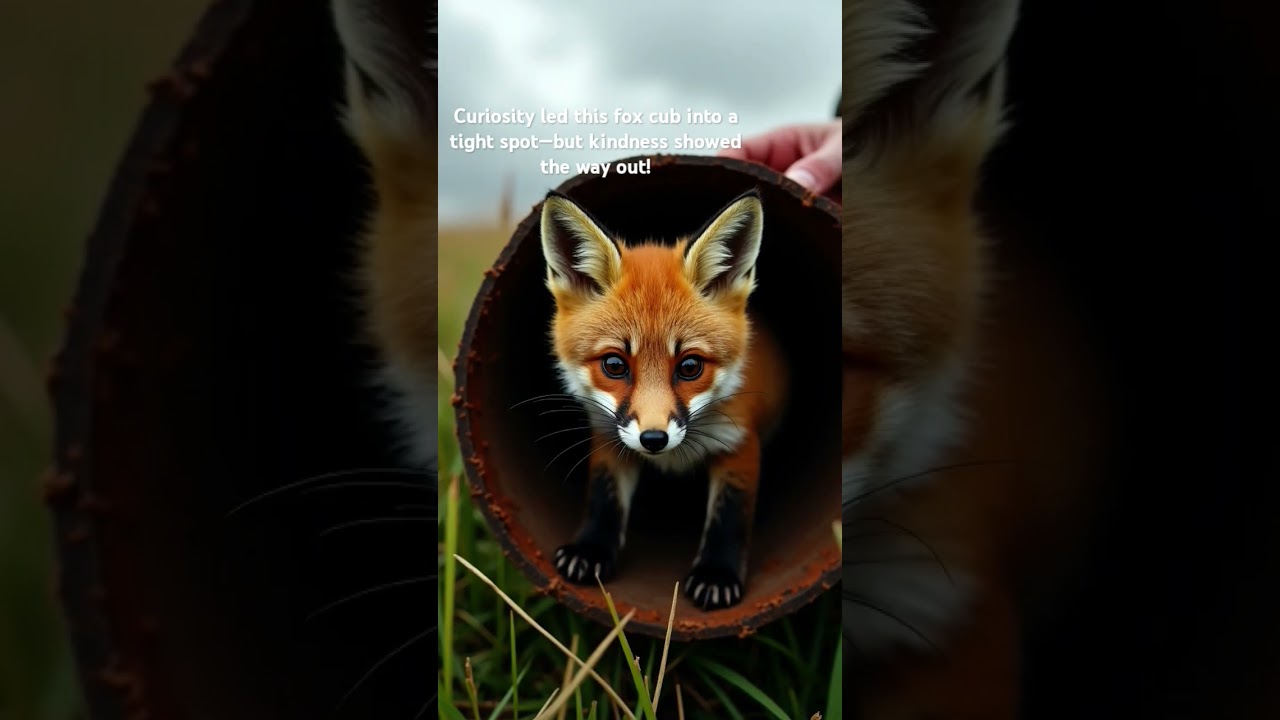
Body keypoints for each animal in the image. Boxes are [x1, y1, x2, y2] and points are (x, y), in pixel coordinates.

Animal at [539, 189, 788, 611]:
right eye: (614, 365)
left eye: (689, 366)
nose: (653, 439)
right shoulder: (610, 436)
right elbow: (604, 498)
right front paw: (590, 550)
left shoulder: (739, 442)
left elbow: (729, 516)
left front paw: (717, 574)